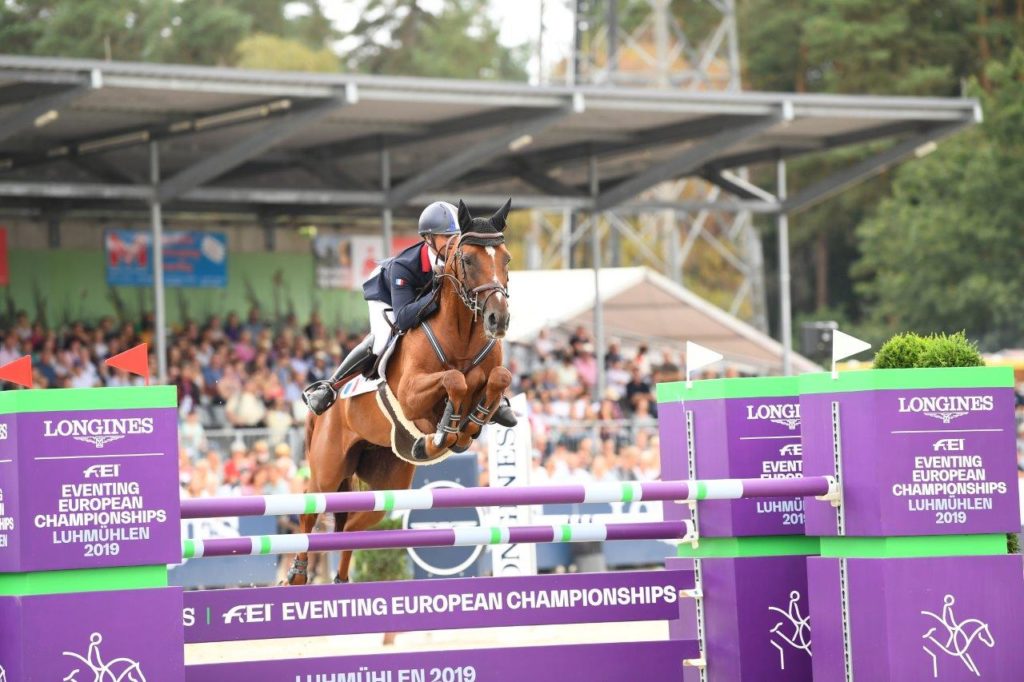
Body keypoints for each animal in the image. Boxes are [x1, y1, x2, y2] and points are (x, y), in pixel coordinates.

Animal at [286, 197, 512, 585]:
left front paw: (471, 423)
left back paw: (341, 581)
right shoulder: (410, 395)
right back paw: (297, 575)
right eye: (468, 260)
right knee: (309, 507)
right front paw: (448, 429)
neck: (462, 336)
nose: (499, 319)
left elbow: (498, 377)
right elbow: (457, 380)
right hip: (328, 470)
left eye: (507, 259)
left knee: (352, 526)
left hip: (387, 484)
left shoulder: (491, 372)